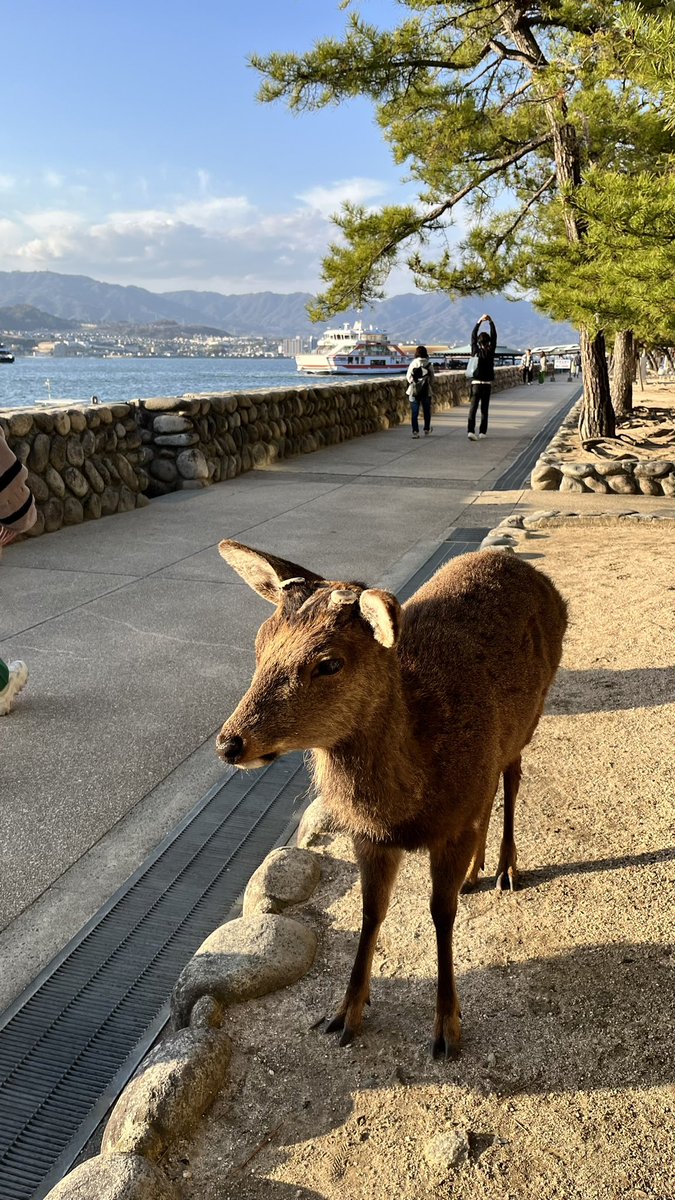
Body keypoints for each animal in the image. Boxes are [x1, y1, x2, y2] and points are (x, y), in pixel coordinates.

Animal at [216, 539, 567, 1058]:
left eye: (328, 662)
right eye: (259, 644)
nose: (229, 743)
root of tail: (538, 576)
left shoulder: (450, 828)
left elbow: (441, 914)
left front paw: (447, 1029)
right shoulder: (369, 836)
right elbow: (371, 912)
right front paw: (344, 1014)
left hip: (531, 716)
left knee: (512, 776)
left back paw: (506, 869)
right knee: (489, 792)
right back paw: (476, 872)